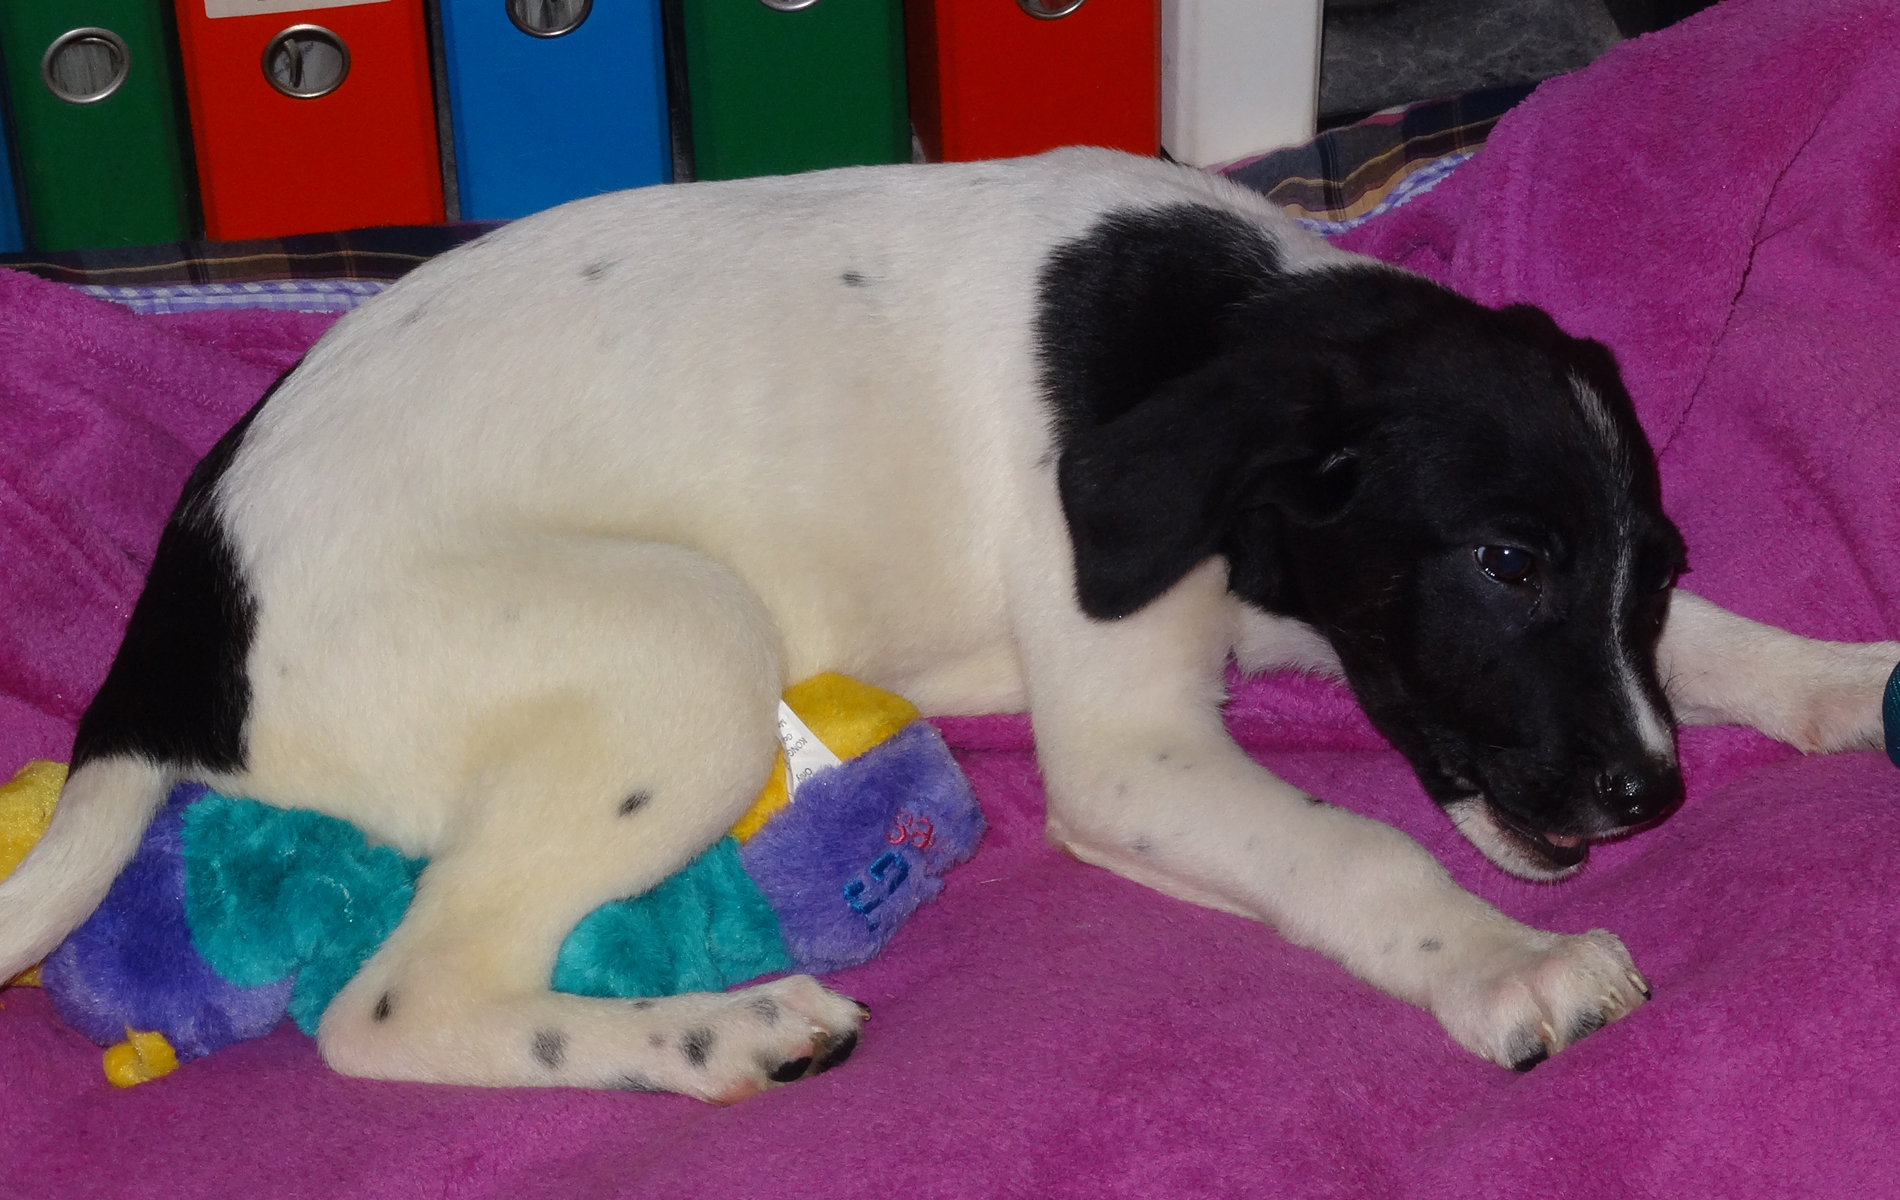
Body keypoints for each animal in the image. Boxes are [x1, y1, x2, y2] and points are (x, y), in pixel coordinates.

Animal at [3, 148, 1895, 1099]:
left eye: (1645, 558)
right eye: (1502, 564)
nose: (1649, 800)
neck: (1229, 319)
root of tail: (171, 635)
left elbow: (1716, 644)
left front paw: (1843, 676)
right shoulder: (1132, 753)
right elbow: (1356, 852)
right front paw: (1507, 965)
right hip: (686, 645)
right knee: (393, 1011)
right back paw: (723, 1033)